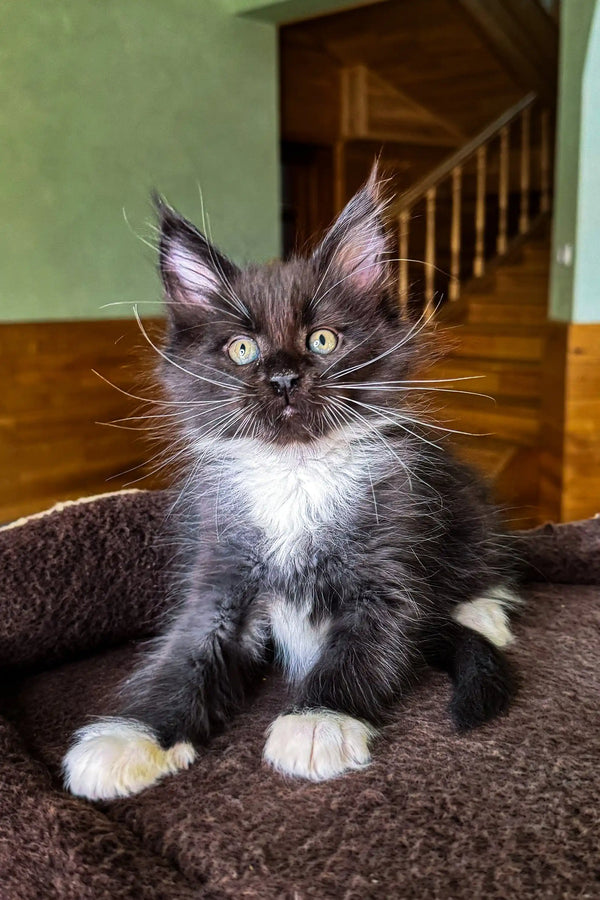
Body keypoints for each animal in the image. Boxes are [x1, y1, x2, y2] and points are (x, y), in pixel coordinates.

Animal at [63, 165, 516, 800]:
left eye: (321, 340)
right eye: (242, 349)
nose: (281, 377)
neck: (296, 470)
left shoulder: (389, 557)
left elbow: (366, 645)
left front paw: (317, 722)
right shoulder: (218, 572)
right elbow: (183, 653)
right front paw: (136, 736)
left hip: (462, 499)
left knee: (484, 566)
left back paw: (482, 613)